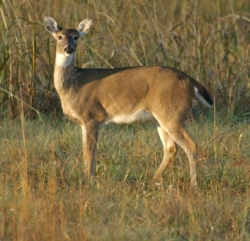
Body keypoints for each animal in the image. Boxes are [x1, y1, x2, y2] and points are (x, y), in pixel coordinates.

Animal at [44, 16, 213, 189]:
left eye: (76, 37)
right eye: (59, 37)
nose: (68, 49)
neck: (73, 85)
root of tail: (190, 82)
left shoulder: (92, 115)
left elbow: (90, 152)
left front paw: (89, 181)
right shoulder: (83, 122)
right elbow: (86, 151)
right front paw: (88, 179)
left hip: (172, 113)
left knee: (191, 145)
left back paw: (193, 185)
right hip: (160, 118)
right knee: (171, 148)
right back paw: (153, 180)